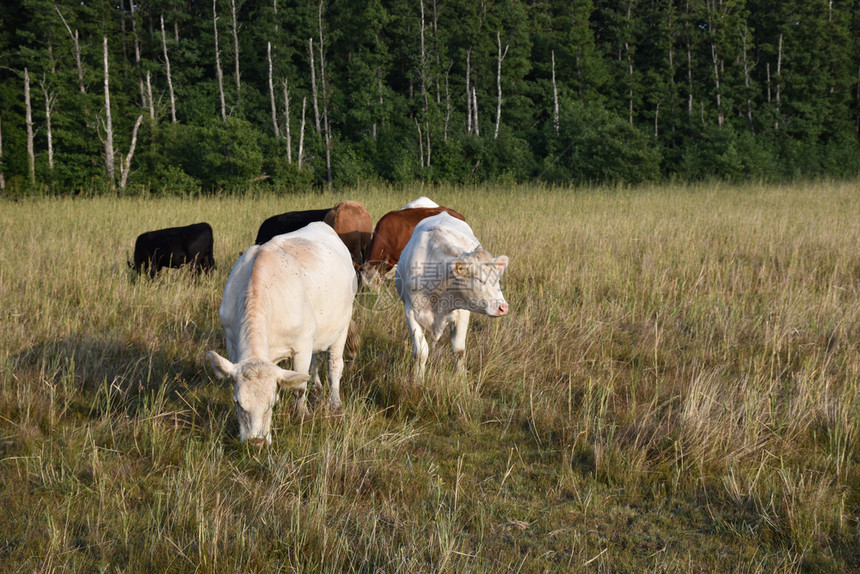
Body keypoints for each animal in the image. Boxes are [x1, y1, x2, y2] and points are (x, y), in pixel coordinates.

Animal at [396, 214, 510, 380]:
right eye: (479, 279)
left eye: (498, 278)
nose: (503, 307)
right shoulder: (410, 312)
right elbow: (421, 352)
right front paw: (418, 380)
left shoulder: (462, 312)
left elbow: (458, 351)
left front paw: (461, 380)